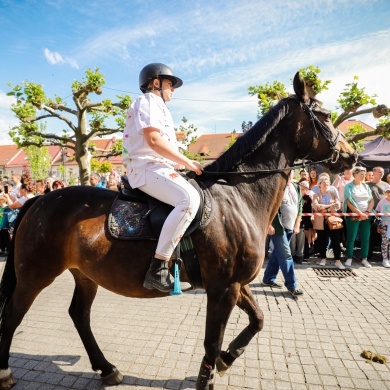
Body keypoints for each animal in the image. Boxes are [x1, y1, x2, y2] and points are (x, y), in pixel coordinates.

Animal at [0, 72, 356, 386]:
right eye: (325, 116)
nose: (351, 155)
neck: (238, 198)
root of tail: (40, 199)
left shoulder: (235, 284)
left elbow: (257, 320)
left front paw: (227, 359)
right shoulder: (223, 287)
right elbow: (212, 342)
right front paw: (209, 376)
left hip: (85, 273)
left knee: (78, 315)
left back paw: (107, 369)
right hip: (35, 274)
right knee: (13, 315)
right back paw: (6, 373)